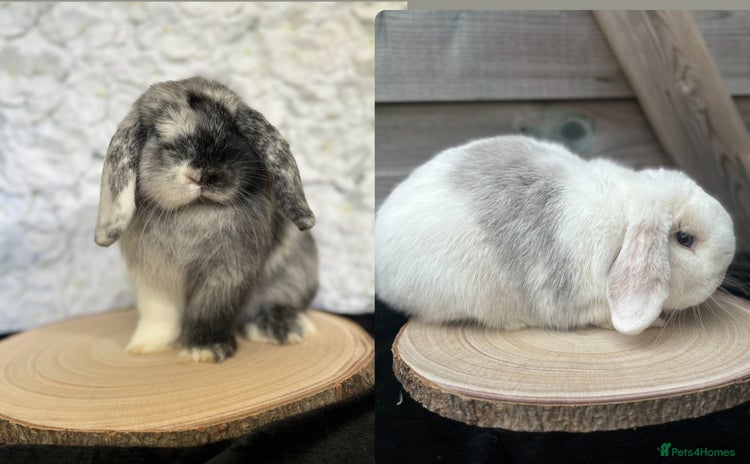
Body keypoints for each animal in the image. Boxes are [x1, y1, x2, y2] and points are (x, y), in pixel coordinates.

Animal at [95, 76, 318, 362]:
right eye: (159, 135)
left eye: (234, 132)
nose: (204, 174)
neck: (195, 210)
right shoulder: (154, 277)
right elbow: (159, 313)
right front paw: (145, 345)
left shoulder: (227, 273)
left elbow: (210, 309)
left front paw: (208, 350)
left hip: (292, 273)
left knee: (272, 302)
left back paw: (283, 328)